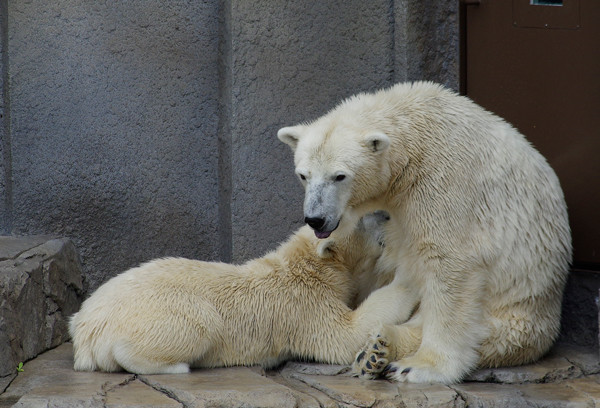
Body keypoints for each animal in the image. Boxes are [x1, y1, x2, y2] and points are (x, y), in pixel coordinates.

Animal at [276, 80, 572, 382]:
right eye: (303, 175)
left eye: (339, 176)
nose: (316, 219)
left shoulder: (444, 182)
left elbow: (449, 265)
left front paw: (423, 366)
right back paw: (372, 352)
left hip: (516, 316)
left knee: (485, 335)